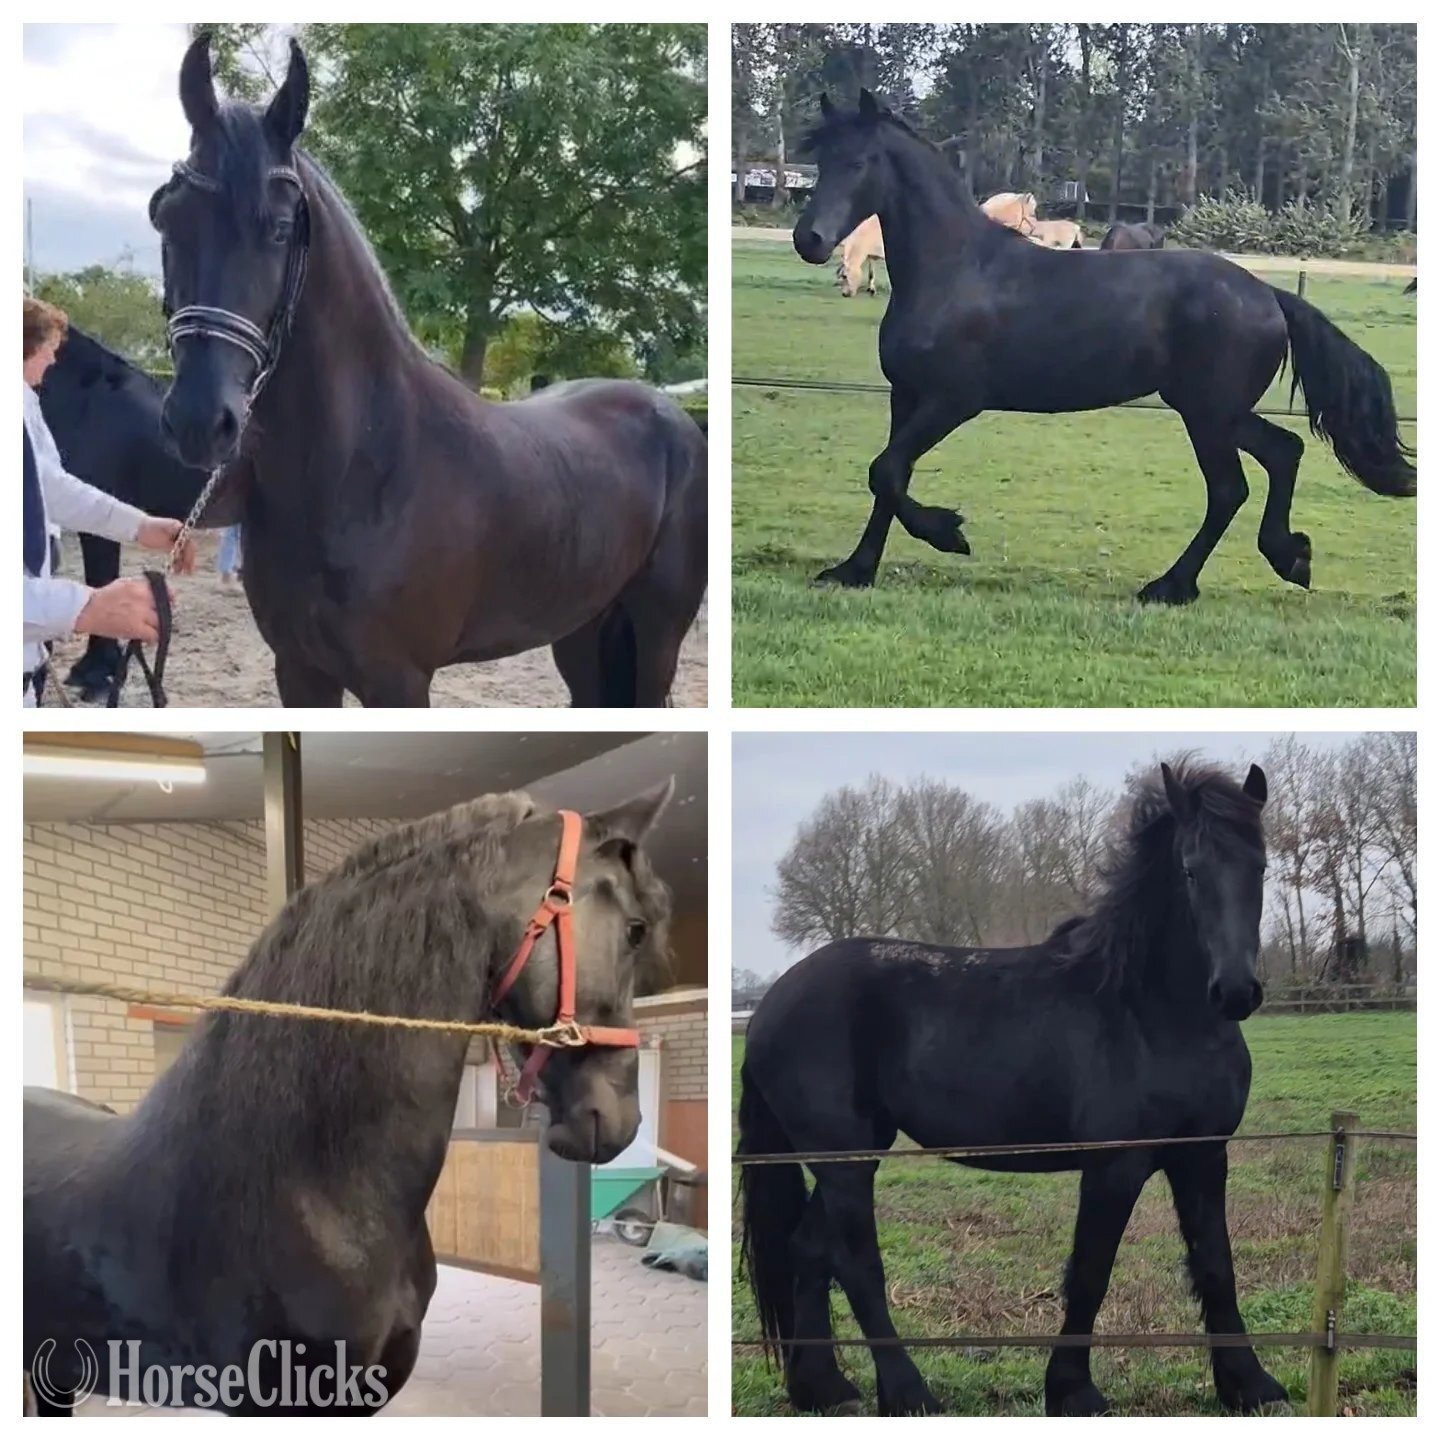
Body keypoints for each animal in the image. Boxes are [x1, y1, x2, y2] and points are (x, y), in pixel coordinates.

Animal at [148, 35, 706, 707]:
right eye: (168, 218)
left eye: (279, 228)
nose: (200, 421)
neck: (362, 466)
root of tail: (672, 414)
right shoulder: (299, 669)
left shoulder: (399, 681)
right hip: (583, 629)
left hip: (655, 639)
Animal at [739, 760, 1287, 1417]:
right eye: (1190, 869)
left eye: (1259, 867)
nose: (1235, 991)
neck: (1151, 1012)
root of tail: (770, 1003)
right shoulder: (1115, 1165)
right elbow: (1092, 1271)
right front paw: (1073, 1391)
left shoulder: (1203, 1155)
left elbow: (1216, 1265)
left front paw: (1250, 1384)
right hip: (844, 1159)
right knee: (856, 1263)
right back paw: (909, 1393)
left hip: (850, 1153)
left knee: (807, 1249)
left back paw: (822, 1388)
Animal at [791, 91, 1414, 602]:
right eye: (822, 161)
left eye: (861, 162)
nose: (809, 240)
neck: (956, 270)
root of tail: (1268, 295)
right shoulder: (906, 397)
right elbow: (888, 477)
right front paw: (854, 570)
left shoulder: (953, 400)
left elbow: (887, 471)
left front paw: (949, 533)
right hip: (1218, 412)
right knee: (1284, 453)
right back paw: (1288, 558)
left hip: (1207, 414)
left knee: (1229, 489)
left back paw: (1173, 586)